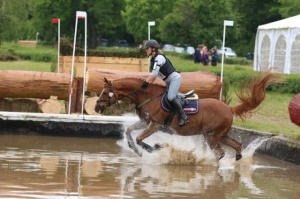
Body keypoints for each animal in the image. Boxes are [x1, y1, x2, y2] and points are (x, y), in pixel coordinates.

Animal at [94, 72, 284, 161]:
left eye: (104, 92)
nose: (96, 107)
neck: (146, 95)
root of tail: (229, 108)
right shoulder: (145, 122)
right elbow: (129, 132)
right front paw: (136, 149)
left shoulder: (155, 125)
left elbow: (141, 139)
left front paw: (154, 147)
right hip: (220, 135)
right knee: (236, 145)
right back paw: (236, 160)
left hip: (211, 136)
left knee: (220, 153)